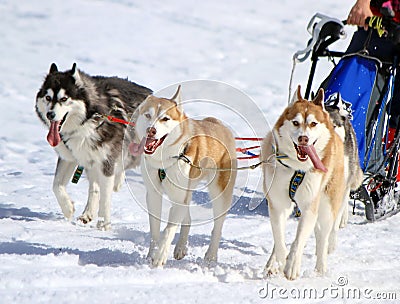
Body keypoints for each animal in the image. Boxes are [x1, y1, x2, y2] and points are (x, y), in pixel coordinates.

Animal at [35, 63, 152, 230]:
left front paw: (104, 224)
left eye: (64, 98)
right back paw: (88, 213)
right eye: (48, 97)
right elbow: (56, 185)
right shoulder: (69, 157)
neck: (87, 121)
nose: (50, 115)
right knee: (95, 187)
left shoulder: (106, 162)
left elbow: (105, 197)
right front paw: (68, 208)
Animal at [131, 85, 238, 266]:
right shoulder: (154, 195)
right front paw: (151, 255)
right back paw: (181, 247)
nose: (151, 130)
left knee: (217, 227)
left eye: (165, 118)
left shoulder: (179, 196)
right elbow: (155, 230)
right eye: (148, 115)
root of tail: (220, 125)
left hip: (220, 193)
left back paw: (211, 256)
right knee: (186, 219)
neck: (164, 160)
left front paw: (159, 256)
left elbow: (168, 229)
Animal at [260, 85, 348, 280]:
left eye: (313, 123)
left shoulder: (309, 207)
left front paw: (292, 265)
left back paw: (320, 269)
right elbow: (279, 239)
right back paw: (271, 264)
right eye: (295, 122)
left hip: (327, 206)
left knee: (323, 238)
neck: (296, 168)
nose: (303, 138)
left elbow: (299, 240)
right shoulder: (277, 205)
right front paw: (281, 261)